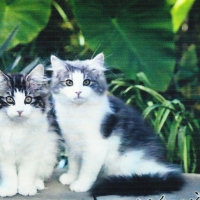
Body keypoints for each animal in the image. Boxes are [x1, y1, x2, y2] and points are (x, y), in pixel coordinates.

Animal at [0, 65, 59, 196]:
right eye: (9, 99)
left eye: (28, 99)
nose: (20, 111)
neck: (18, 127)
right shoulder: (3, 155)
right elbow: (9, 174)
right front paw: (9, 189)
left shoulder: (33, 152)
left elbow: (27, 172)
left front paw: (26, 189)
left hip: (48, 154)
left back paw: (37, 184)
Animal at [50, 53, 184, 197]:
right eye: (69, 82)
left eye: (87, 82)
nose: (78, 92)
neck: (77, 112)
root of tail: (165, 168)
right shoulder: (71, 142)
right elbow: (74, 163)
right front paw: (70, 177)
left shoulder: (95, 146)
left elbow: (87, 169)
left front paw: (81, 184)